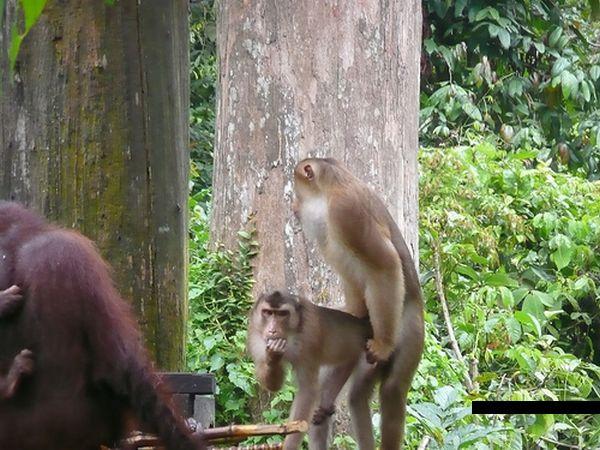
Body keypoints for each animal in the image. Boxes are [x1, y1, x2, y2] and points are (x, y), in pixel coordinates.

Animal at [247, 290, 370, 448]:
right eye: (268, 312)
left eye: (282, 314)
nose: (272, 330)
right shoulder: (255, 334)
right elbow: (273, 386)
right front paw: (273, 356)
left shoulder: (309, 338)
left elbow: (308, 390)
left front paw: (289, 445)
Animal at [292, 156, 424, 448]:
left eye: (296, 191)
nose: (294, 206)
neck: (334, 186)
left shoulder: (345, 212)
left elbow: (386, 264)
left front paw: (383, 346)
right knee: (357, 394)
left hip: (408, 327)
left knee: (392, 389)